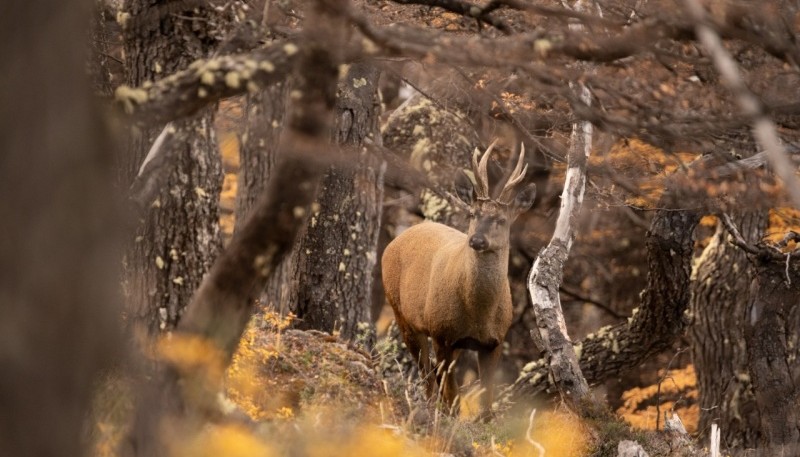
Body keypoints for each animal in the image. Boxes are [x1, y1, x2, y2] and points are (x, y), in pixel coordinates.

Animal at [382, 140, 536, 416]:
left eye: (501, 220)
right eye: (473, 214)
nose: (477, 240)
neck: (478, 314)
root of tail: (394, 241)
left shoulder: (494, 342)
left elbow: (486, 405)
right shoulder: (441, 332)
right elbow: (452, 396)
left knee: (434, 374)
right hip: (404, 315)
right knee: (427, 374)